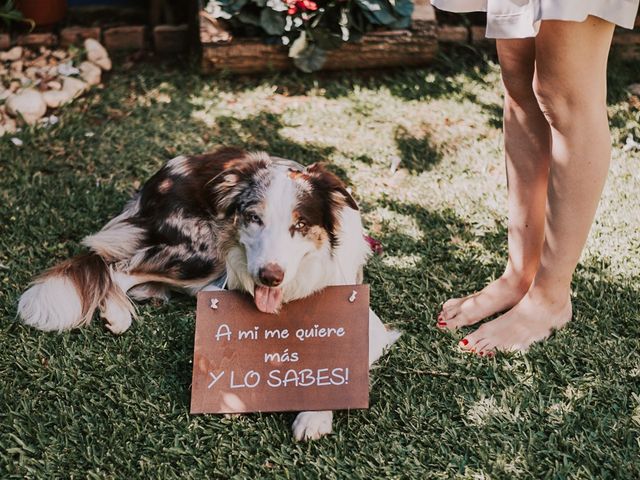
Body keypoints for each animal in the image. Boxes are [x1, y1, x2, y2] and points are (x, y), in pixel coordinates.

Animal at [17, 148, 400, 440]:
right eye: (253, 218)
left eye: (301, 225)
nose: (269, 276)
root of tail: (156, 181)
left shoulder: (367, 321)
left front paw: (314, 415)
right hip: (203, 250)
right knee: (116, 266)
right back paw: (118, 313)